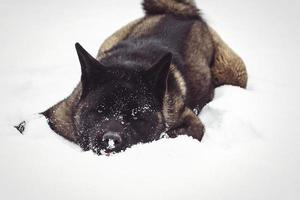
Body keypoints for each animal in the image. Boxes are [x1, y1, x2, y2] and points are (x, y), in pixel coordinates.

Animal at [34, 0, 247, 155]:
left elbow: (171, 134)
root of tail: (179, 13)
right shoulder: (58, 115)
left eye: (136, 115)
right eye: (99, 110)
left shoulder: (191, 122)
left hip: (233, 71)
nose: (110, 140)